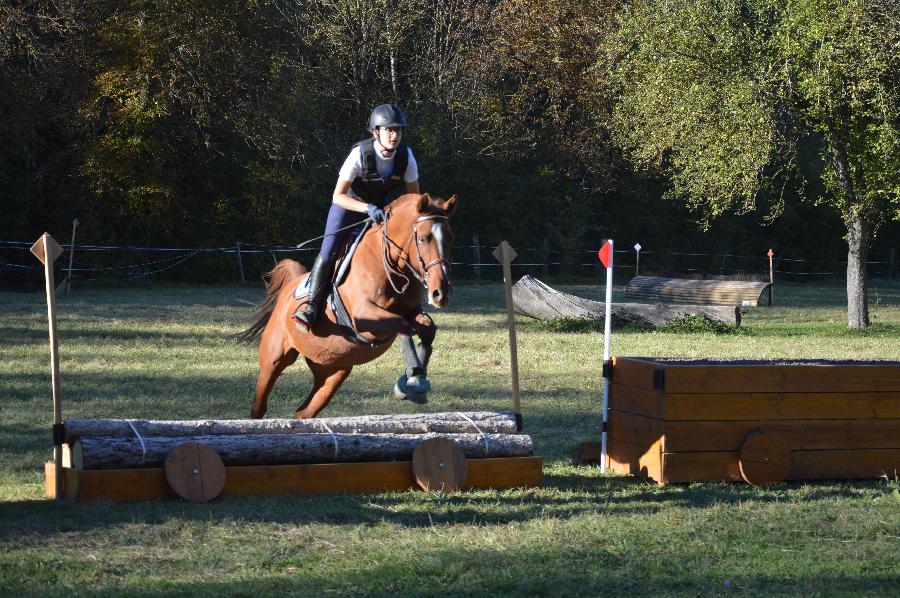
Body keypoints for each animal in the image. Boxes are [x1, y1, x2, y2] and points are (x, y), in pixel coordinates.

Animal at [239, 195, 458, 420]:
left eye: (450, 239)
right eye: (422, 239)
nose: (440, 293)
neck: (389, 267)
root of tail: (291, 285)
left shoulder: (412, 312)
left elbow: (427, 329)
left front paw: (416, 381)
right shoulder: (364, 318)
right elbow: (403, 325)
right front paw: (414, 377)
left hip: (332, 373)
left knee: (305, 411)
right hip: (274, 359)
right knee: (260, 404)